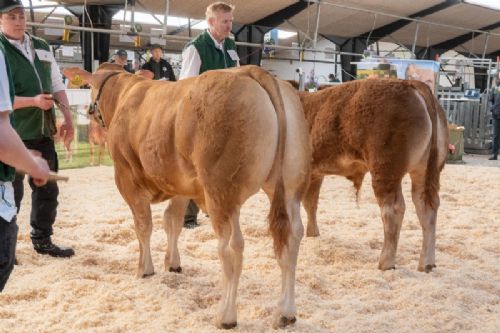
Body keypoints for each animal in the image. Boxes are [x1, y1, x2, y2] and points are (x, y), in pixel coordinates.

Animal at [64, 64, 310, 326]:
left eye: (89, 87)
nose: (90, 112)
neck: (125, 92)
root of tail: (252, 71)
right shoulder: (180, 185)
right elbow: (172, 222)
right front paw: (172, 264)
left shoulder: (126, 178)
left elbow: (143, 226)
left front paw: (144, 269)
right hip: (289, 186)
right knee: (293, 236)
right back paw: (286, 312)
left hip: (221, 192)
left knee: (232, 246)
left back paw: (226, 315)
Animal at [296, 78, 450, 272]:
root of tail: (409, 83)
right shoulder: (315, 173)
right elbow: (310, 203)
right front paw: (312, 234)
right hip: (426, 170)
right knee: (426, 206)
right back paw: (426, 264)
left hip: (385, 168)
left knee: (393, 209)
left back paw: (386, 262)